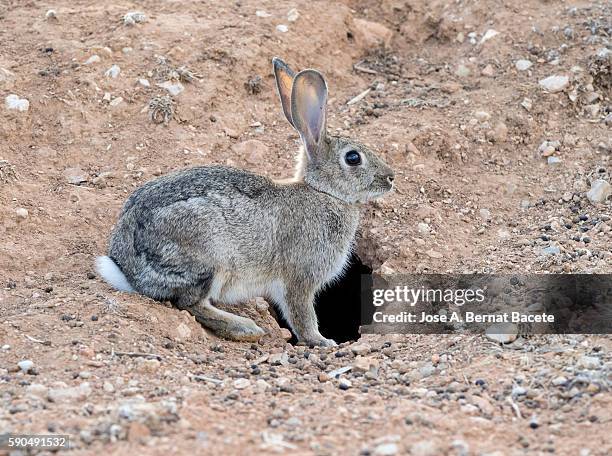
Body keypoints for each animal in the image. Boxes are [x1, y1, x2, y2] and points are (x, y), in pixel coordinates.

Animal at [95, 58, 392, 348]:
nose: (391, 177)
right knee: (191, 303)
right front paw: (322, 341)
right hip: (208, 258)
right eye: (353, 158)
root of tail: (129, 269)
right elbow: (302, 315)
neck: (324, 192)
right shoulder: (300, 277)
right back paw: (245, 328)